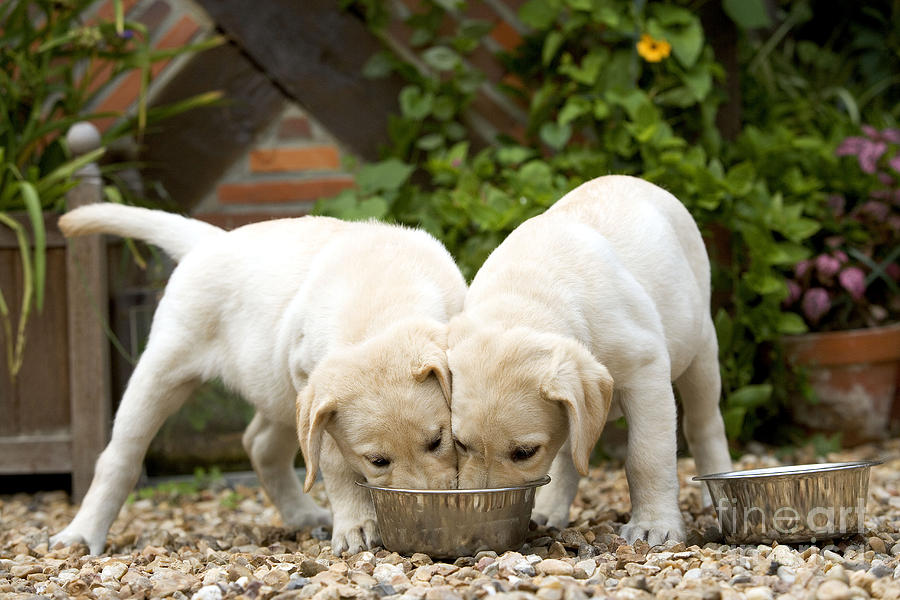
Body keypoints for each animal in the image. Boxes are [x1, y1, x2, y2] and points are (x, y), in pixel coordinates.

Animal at [51, 204, 464, 556]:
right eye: (377, 461)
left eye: (437, 441)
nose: (427, 518)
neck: (380, 305)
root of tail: (210, 240)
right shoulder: (313, 391)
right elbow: (334, 464)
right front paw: (356, 526)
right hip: (164, 368)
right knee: (119, 457)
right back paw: (81, 533)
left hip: (279, 390)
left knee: (260, 444)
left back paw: (301, 513)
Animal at [446, 175, 736, 548]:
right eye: (460, 444)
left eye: (524, 453)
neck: (527, 295)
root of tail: (632, 179)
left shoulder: (647, 371)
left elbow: (647, 457)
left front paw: (654, 525)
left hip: (701, 350)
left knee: (704, 423)